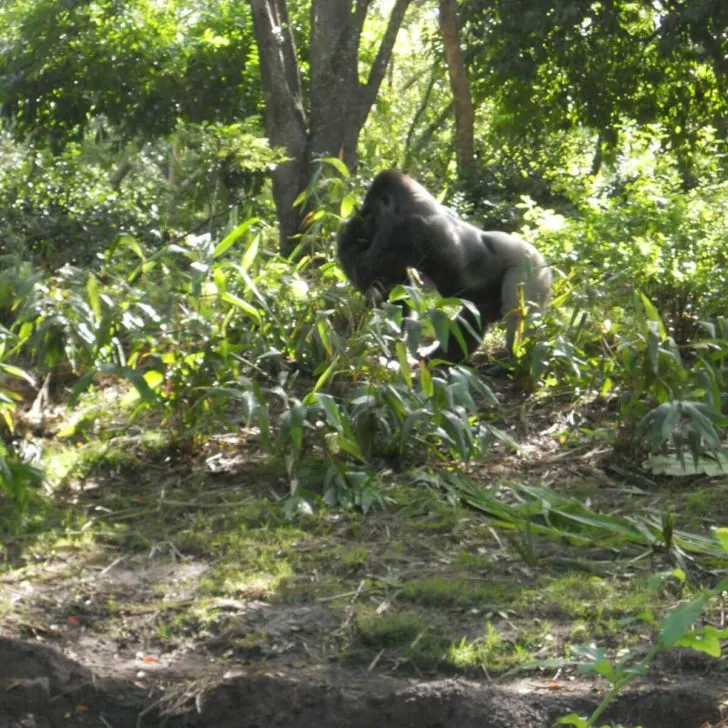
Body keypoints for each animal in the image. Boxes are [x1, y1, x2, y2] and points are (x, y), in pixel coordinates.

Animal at [336, 171, 552, 364]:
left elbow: (367, 273)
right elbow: (395, 293)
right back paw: (439, 360)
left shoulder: (402, 229)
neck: (415, 201)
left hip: (532, 270)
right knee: (473, 319)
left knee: (518, 316)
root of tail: (543, 261)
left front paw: (351, 229)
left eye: (370, 211)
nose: (365, 219)